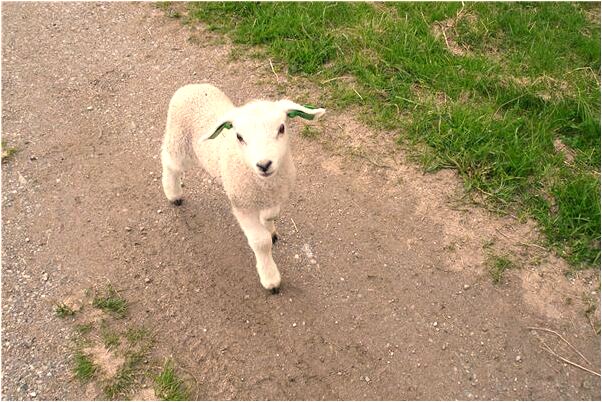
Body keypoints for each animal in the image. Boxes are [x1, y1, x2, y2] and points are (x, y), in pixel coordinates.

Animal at [161, 84, 324, 292]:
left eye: (281, 128)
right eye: (239, 136)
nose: (264, 164)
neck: (264, 185)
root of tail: (191, 86)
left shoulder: (277, 195)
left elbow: (271, 215)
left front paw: (269, 226)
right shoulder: (242, 206)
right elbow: (261, 242)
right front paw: (270, 278)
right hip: (179, 141)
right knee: (170, 163)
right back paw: (173, 193)